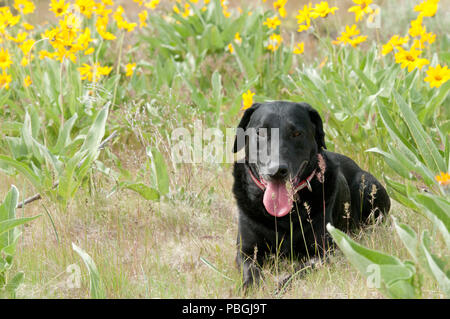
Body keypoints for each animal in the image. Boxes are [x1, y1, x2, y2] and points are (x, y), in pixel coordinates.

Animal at [232, 102, 390, 288]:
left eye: (296, 133)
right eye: (260, 133)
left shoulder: (322, 253)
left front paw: (278, 287)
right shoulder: (247, 252)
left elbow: (297, 272)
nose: (276, 171)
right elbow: (251, 276)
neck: (284, 218)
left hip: (365, 185)